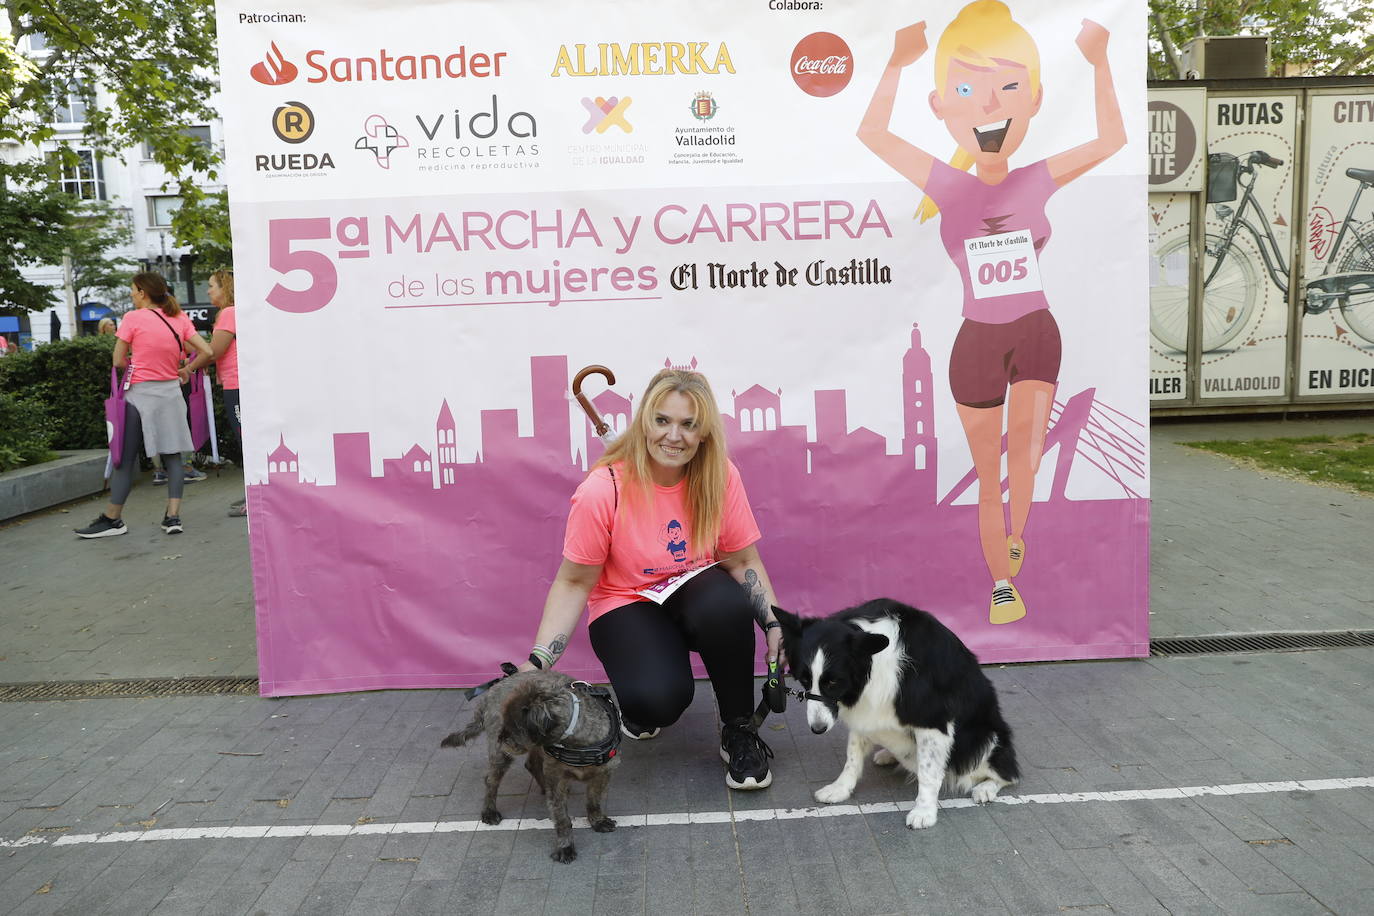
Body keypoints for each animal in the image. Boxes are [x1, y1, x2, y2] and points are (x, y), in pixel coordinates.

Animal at [442, 670, 621, 862]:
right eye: (504, 721)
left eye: (514, 727)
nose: (500, 738)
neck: (577, 744)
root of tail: (492, 690)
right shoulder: (556, 779)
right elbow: (561, 817)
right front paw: (565, 847)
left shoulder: (603, 773)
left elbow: (594, 800)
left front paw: (597, 821)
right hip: (502, 757)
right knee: (491, 780)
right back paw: (489, 811)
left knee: (532, 765)